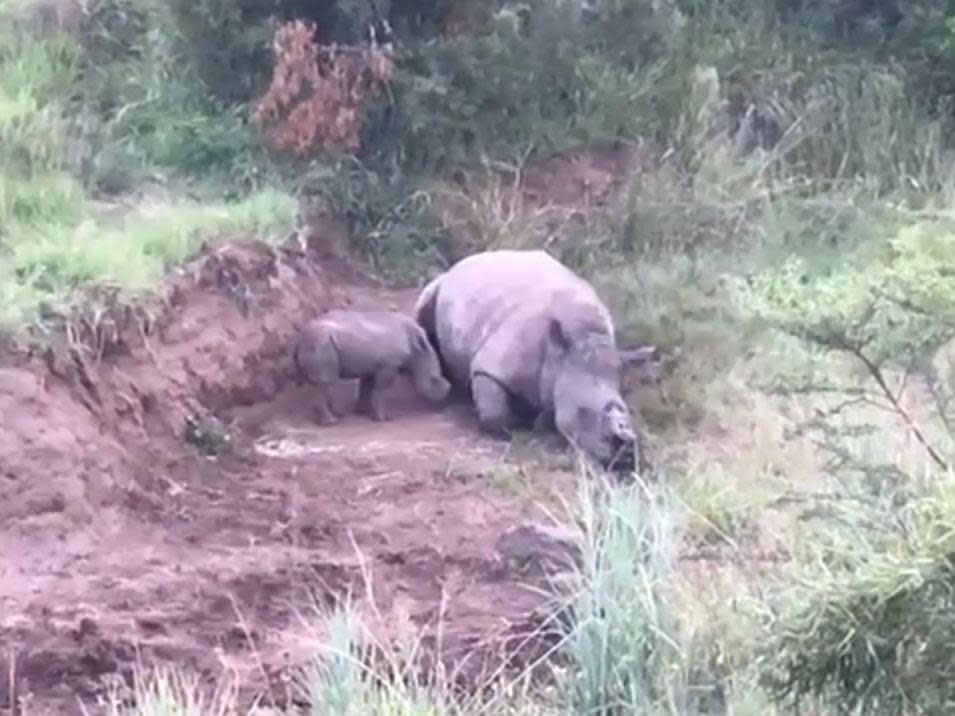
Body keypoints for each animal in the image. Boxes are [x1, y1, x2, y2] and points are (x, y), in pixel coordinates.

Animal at [294, 310, 454, 426]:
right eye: (434, 379)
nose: (447, 390)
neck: (414, 344)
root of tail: (301, 338)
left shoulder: (373, 365)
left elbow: (366, 387)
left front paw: (362, 412)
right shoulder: (389, 364)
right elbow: (380, 389)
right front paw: (384, 419)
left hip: (319, 343)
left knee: (322, 382)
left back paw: (335, 414)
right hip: (321, 344)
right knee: (325, 382)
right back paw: (331, 423)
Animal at [410, 249, 656, 472]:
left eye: (625, 409)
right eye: (582, 412)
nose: (624, 458)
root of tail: (463, 262)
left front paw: (539, 422)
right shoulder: (492, 367)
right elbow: (494, 412)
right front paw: (512, 426)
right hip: (440, 286)